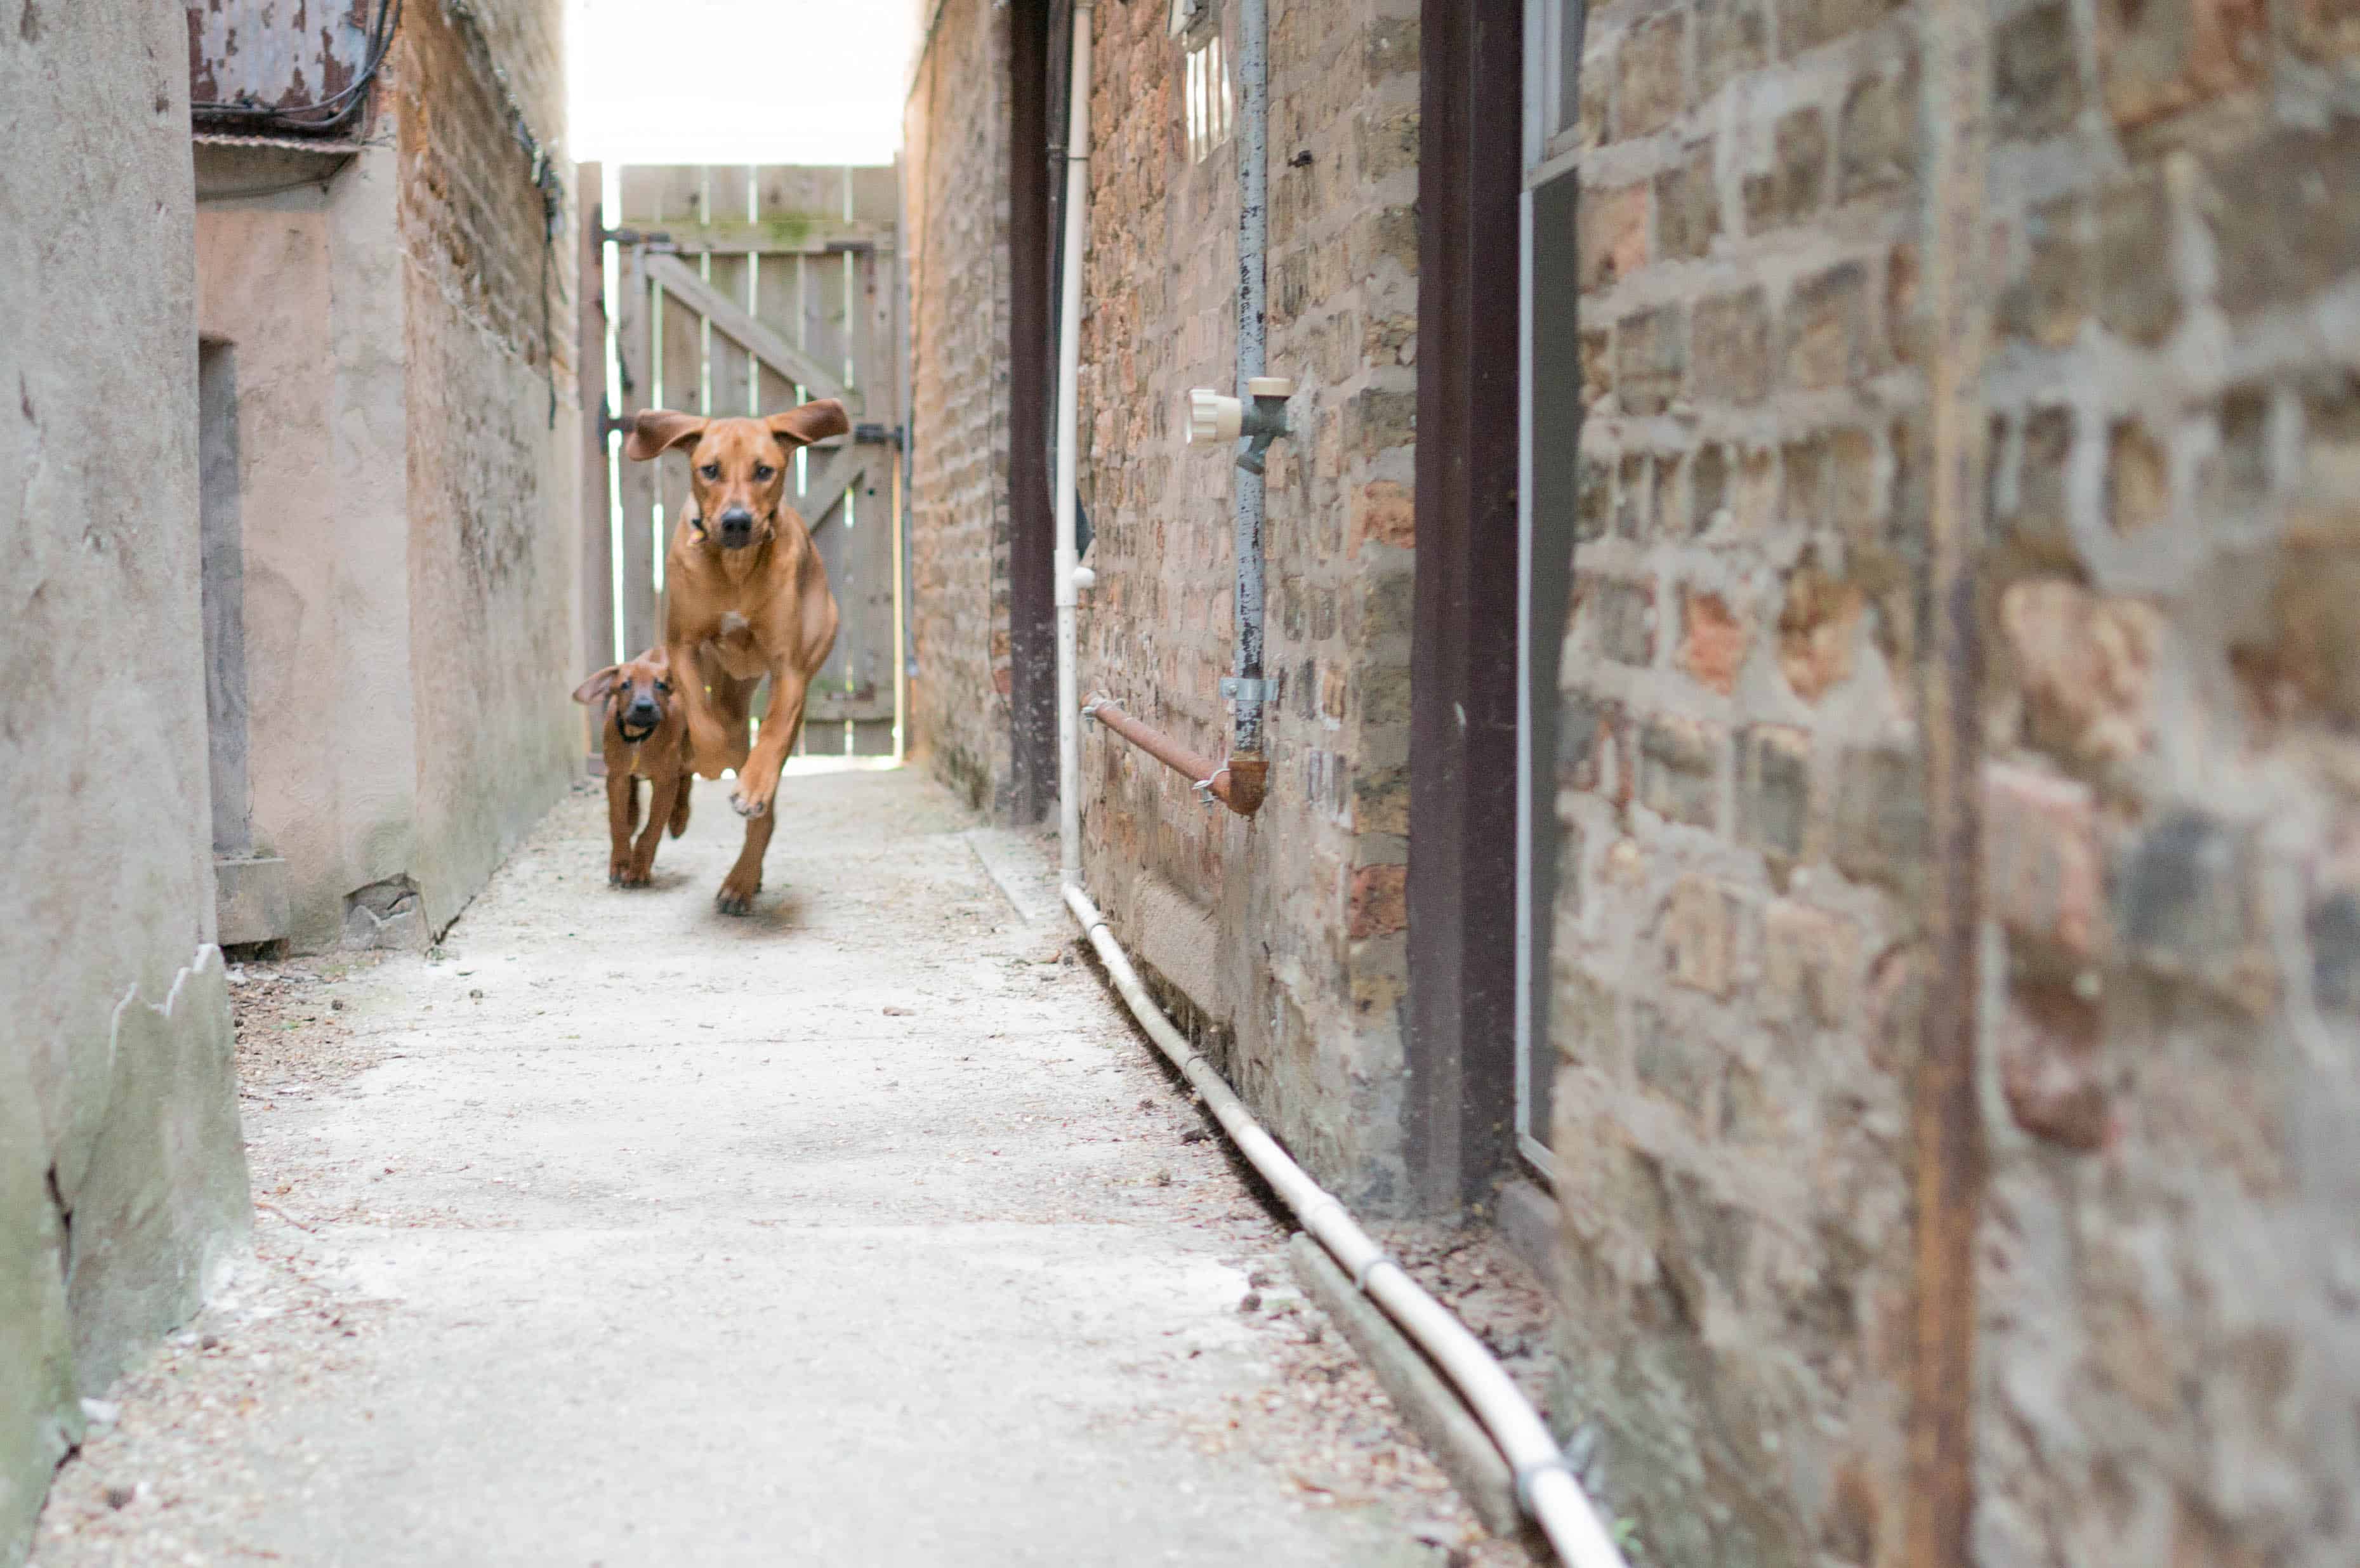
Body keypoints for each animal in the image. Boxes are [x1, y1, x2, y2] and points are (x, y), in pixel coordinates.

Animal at [570, 647, 689, 888]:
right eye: (625, 685)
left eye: (660, 685)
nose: (644, 707)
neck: (638, 738)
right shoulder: (616, 777)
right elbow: (618, 822)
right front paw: (621, 864)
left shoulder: (665, 782)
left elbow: (652, 830)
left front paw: (639, 867)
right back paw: (633, 814)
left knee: (686, 776)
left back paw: (679, 819)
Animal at [623, 399, 854, 921]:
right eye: (709, 470)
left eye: (764, 470)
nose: (735, 521)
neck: (735, 567)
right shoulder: (683, 646)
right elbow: (700, 717)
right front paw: (708, 759)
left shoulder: (791, 668)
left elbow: (771, 734)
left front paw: (752, 788)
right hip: (724, 683)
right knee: (713, 732)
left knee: (762, 791)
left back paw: (742, 879)